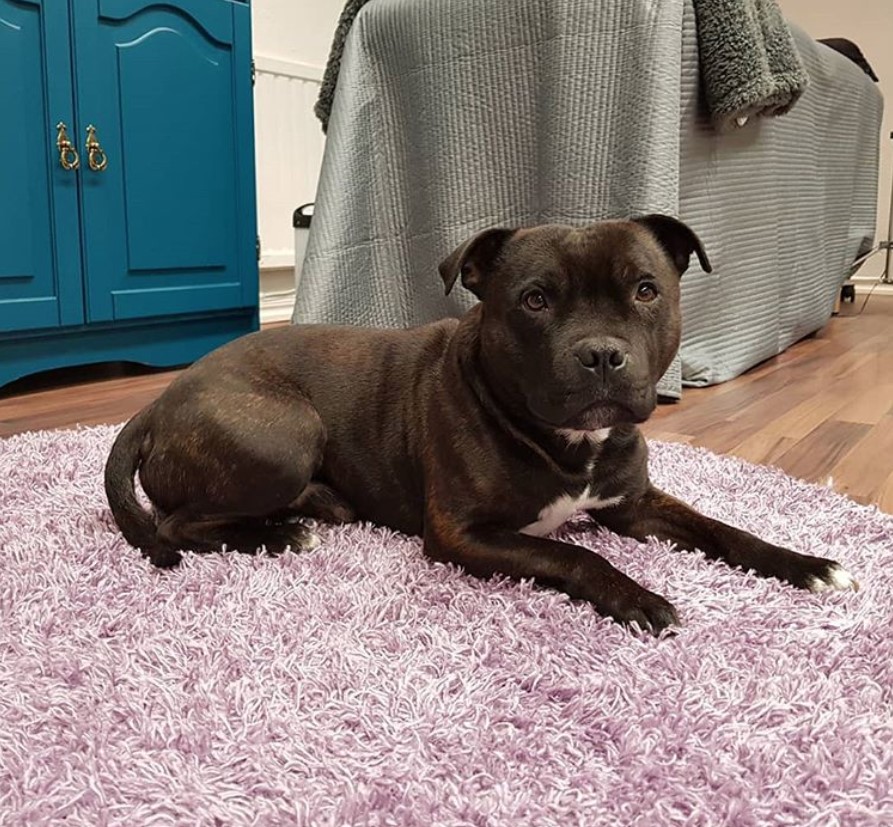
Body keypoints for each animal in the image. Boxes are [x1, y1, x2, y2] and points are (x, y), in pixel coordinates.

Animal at [106, 215, 856, 632]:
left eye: (646, 290)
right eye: (534, 300)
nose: (600, 353)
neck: (567, 442)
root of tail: (156, 404)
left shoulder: (635, 504)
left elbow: (724, 529)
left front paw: (807, 565)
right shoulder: (464, 534)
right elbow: (575, 553)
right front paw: (638, 597)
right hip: (288, 432)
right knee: (176, 524)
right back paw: (281, 533)